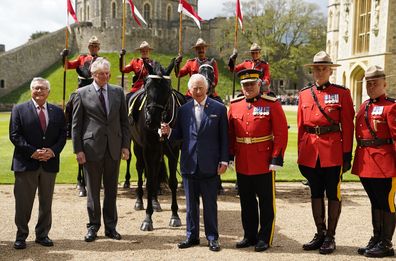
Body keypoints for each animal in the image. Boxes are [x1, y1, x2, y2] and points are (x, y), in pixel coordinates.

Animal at [129, 61, 186, 230]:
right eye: (147, 87)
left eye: (167, 89)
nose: (152, 119)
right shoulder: (148, 150)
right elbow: (149, 181)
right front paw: (148, 219)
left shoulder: (174, 151)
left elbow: (172, 182)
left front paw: (175, 216)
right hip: (138, 148)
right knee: (141, 170)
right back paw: (140, 201)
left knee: (154, 174)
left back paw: (155, 202)